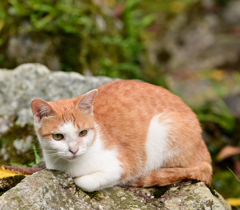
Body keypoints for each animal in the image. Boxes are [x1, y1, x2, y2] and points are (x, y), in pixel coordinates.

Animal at [30, 80, 212, 192]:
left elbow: (86, 182)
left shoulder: (126, 164)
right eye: (58, 136)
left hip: (164, 127)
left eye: (82, 133)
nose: (74, 150)